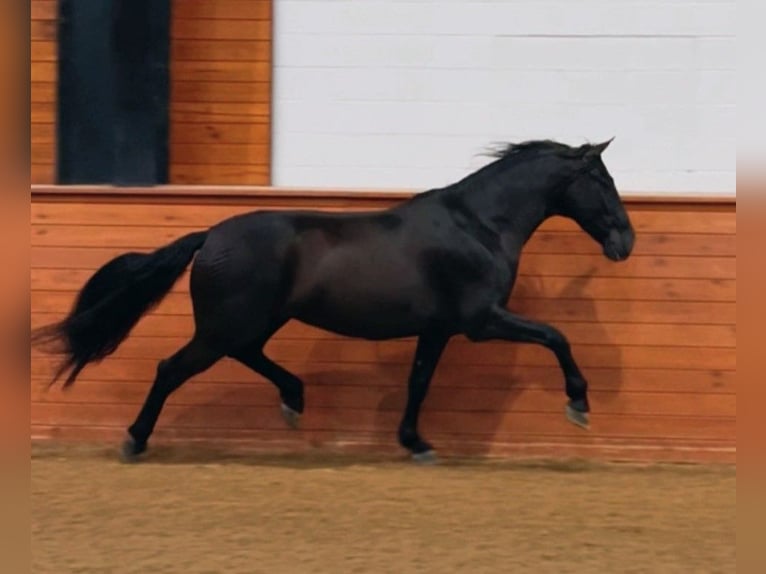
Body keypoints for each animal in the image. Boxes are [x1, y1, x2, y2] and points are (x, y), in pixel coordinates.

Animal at [32, 138, 635, 463]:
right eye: (603, 182)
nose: (625, 242)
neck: (478, 226)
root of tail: (211, 236)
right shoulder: (480, 320)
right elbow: (556, 336)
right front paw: (579, 405)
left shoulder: (438, 328)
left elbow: (419, 383)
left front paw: (416, 443)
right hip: (225, 326)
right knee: (170, 368)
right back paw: (135, 442)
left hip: (255, 323)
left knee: (248, 357)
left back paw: (295, 401)